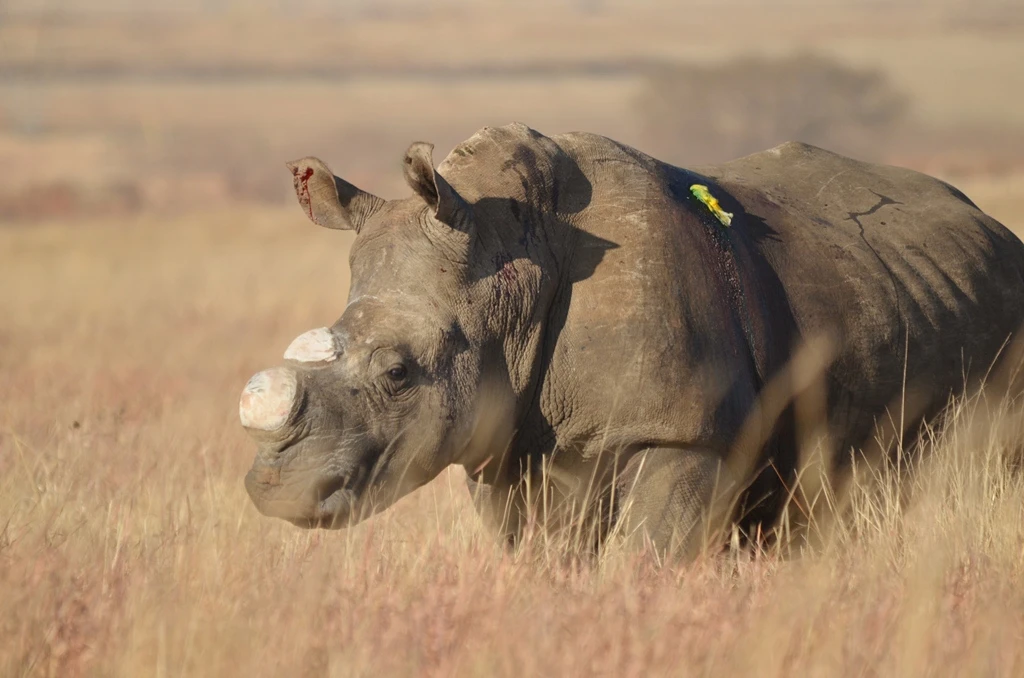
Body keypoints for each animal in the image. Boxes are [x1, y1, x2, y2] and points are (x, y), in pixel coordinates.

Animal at [240, 122, 1024, 557]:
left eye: (398, 374)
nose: (276, 490)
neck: (510, 273)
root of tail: (995, 230)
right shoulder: (506, 443)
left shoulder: (686, 435)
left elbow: (646, 558)